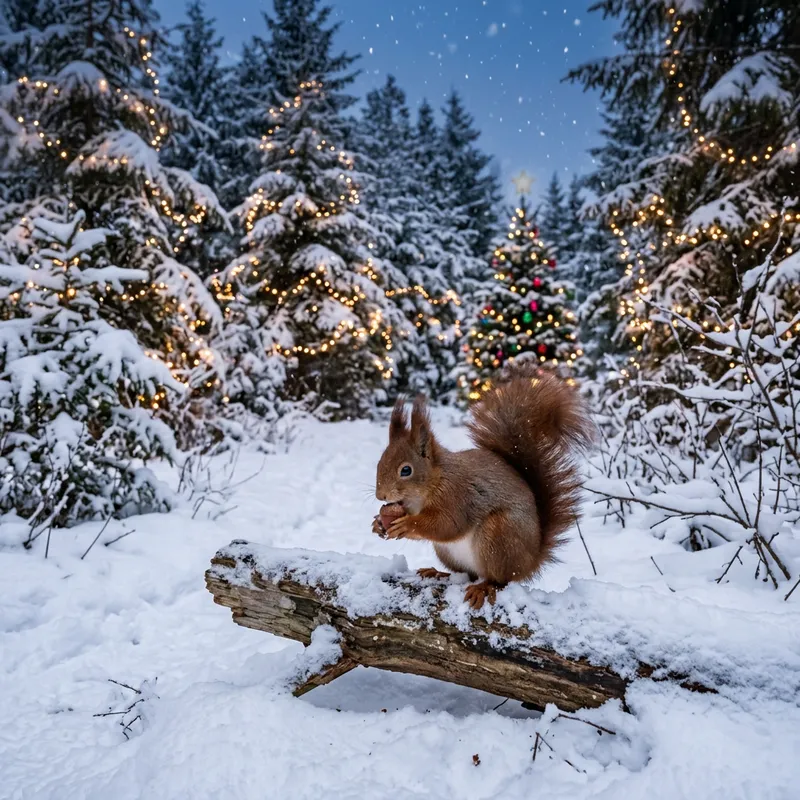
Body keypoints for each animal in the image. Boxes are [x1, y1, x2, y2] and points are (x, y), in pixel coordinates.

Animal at [373, 365, 594, 609]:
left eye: (406, 470)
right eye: (380, 462)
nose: (380, 495)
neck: (430, 485)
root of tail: (532, 560)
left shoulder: (457, 495)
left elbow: (447, 525)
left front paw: (407, 525)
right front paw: (377, 525)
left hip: (498, 535)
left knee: (500, 579)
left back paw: (484, 587)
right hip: (448, 552)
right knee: (466, 575)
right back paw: (438, 573)